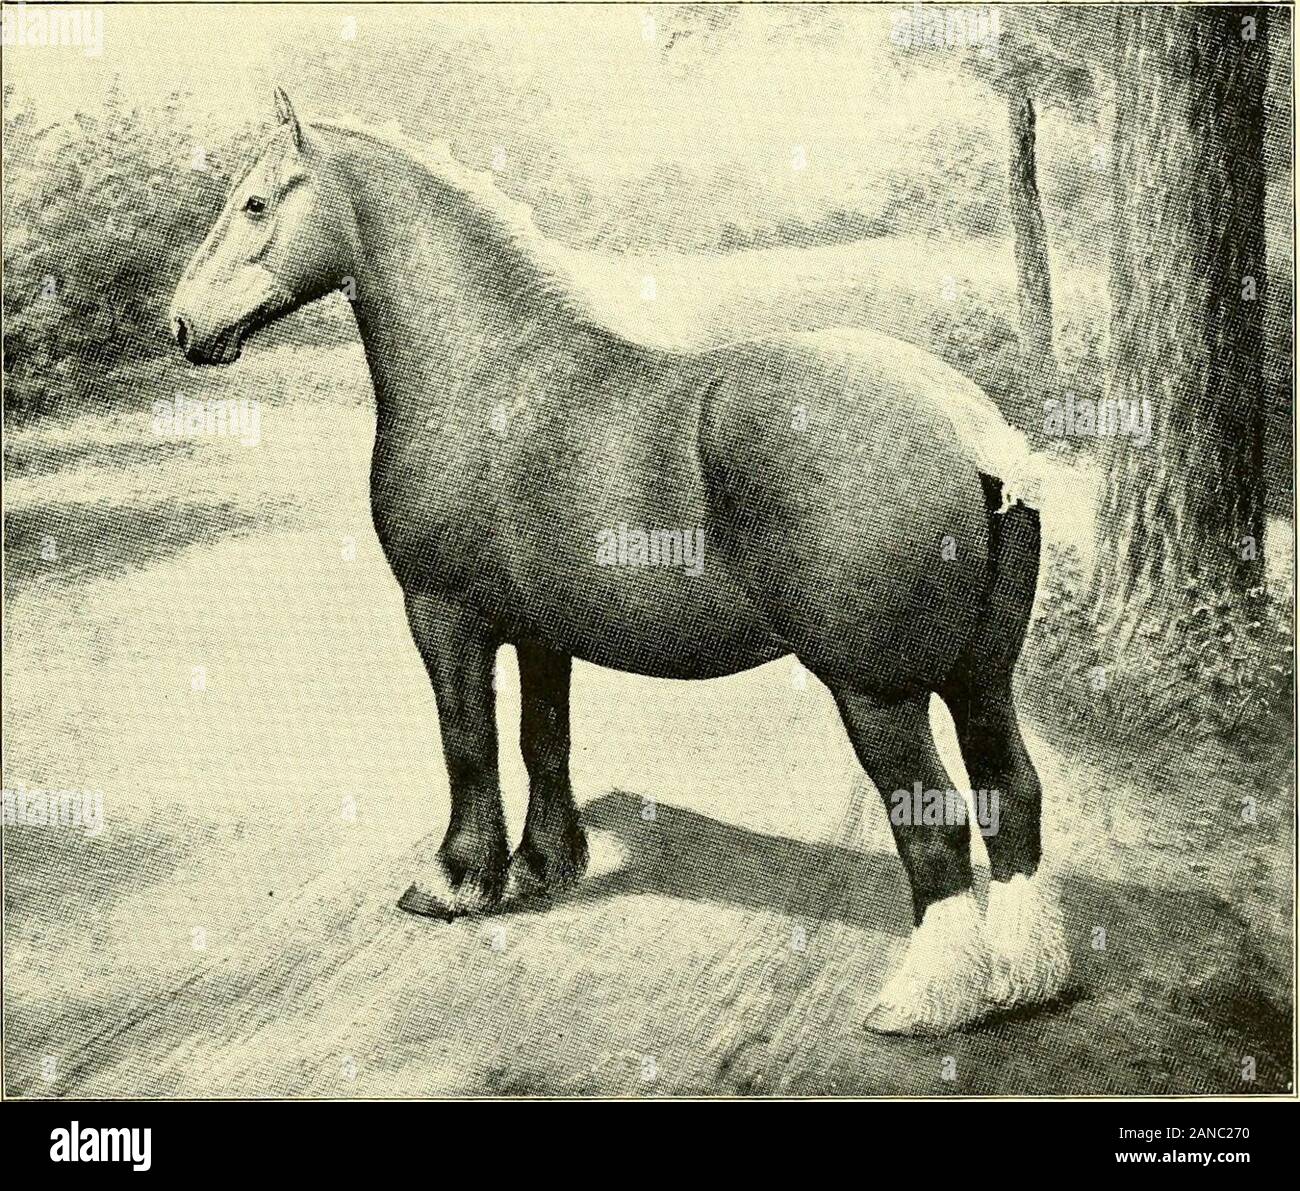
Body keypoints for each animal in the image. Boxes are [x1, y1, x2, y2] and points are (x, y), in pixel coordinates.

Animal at [169, 89, 1070, 1035]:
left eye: (254, 204)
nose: (185, 326)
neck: (488, 372)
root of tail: (961, 420)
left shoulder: (442, 615)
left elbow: (468, 742)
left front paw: (455, 881)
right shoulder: (543, 631)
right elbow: (543, 738)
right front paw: (544, 866)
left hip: (878, 693)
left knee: (936, 820)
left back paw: (922, 1000)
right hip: (982, 676)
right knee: (1013, 794)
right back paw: (1027, 975)